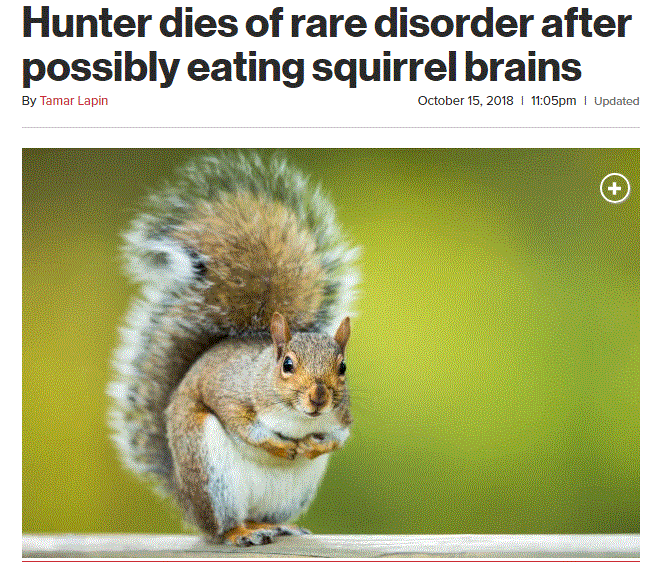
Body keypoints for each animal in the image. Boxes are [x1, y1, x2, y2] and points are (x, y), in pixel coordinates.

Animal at [107, 152, 359, 546]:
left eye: (343, 367)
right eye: (287, 365)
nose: (319, 398)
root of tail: (185, 499)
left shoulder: (341, 417)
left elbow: (338, 437)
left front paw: (313, 446)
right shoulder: (229, 390)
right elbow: (243, 424)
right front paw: (280, 446)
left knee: (261, 516)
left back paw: (276, 526)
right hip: (211, 475)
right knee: (222, 526)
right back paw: (240, 533)